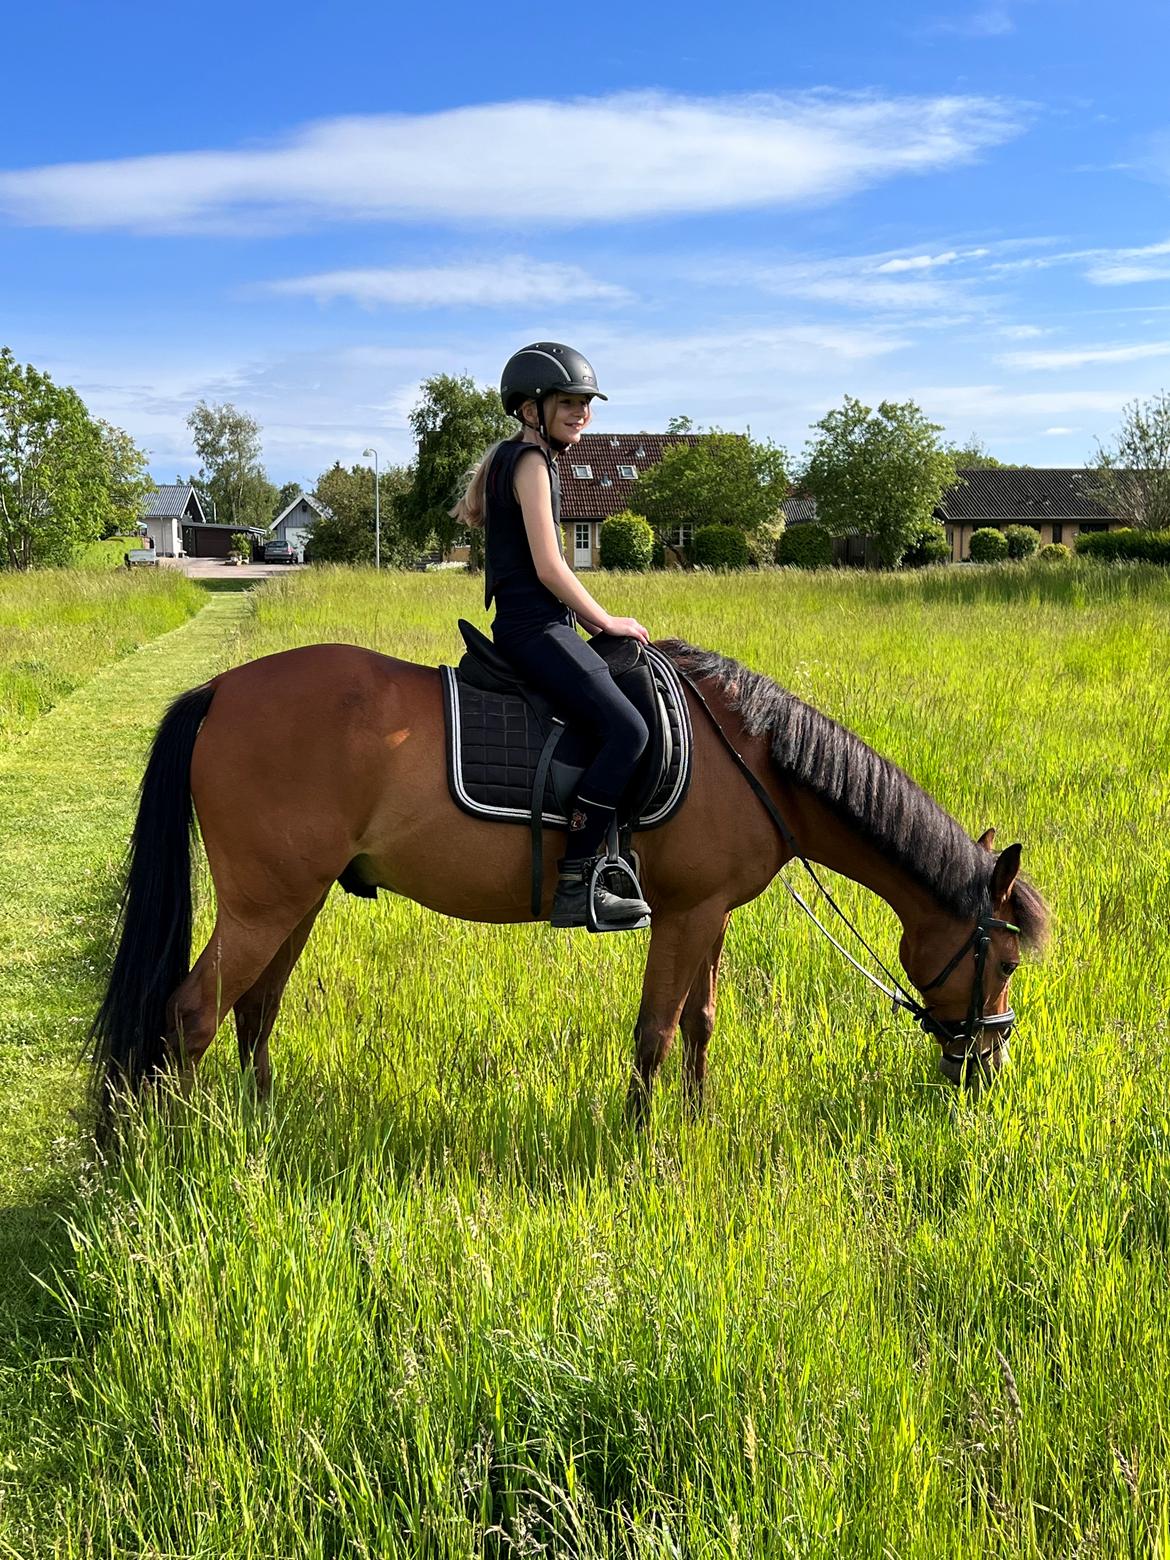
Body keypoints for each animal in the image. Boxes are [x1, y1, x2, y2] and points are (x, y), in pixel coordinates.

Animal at [86, 636, 1048, 1135]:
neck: (760, 763)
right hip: (266, 904)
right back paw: (176, 1149)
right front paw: (641, 1144)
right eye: (1001, 964)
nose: (990, 1066)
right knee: (192, 1013)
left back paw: (259, 1128)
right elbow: (654, 1030)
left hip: (299, 899)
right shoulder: (684, 915)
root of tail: (219, 689)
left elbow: (699, 1022)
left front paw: (695, 1120)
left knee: (256, 1011)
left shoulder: (711, 917)